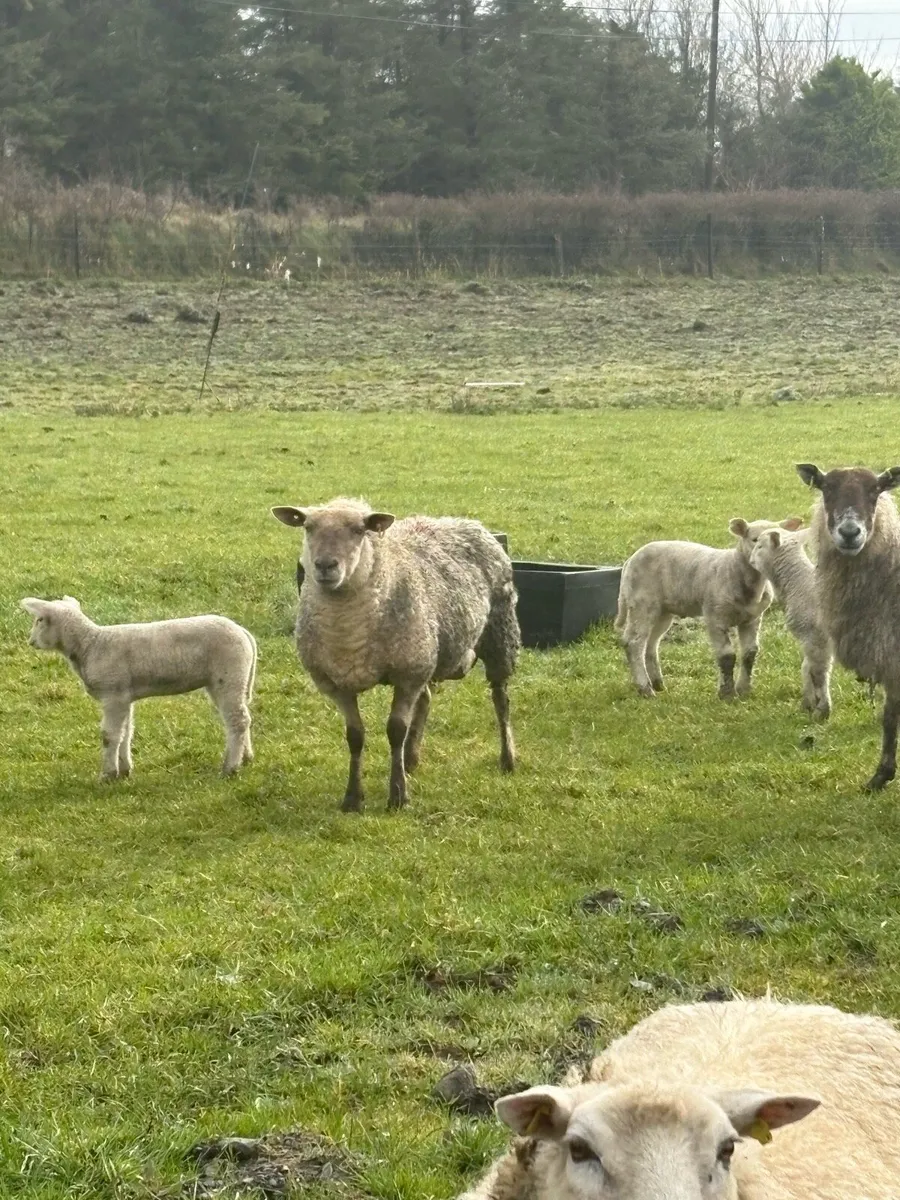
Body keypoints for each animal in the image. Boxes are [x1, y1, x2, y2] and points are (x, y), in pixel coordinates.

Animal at [20, 596, 256, 779]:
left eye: (39, 620)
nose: (30, 642)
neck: (90, 644)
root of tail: (243, 632)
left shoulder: (113, 695)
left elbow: (109, 736)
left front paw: (108, 774)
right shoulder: (124, 695)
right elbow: (126, 733)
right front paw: (125, 770)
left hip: (230, 676)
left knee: (238, 720)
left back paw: (230, 768)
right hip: (225, 681)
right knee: (239, 718)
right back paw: (245, 758)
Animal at [271, 497, 519, 812]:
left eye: (359, 530)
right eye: (308, 527)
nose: (325, 565)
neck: (348, 631)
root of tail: (465, 521)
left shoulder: (407, 675)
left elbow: (395, 731)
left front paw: (398, 795)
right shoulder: (337, 684)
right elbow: (355, 736)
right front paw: (353, 797)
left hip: (499, 634)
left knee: (501, 699)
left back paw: (508, 759)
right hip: (427, 653)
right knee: (426, 698)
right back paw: (411, 759)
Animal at [615, 517, 803, 700]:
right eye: (755, 540)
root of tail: (630, 560)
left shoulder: (752, 619)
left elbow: (750, 653)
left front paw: (744, 690)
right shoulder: (715, 616)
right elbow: (727, 656)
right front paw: (727, 694)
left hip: (663, 610)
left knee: (651, 643)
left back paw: (658, 684)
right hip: (642, 602)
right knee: (634, 642)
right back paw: (645, 689)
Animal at [748, 526, 833, 720]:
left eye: (760, 546)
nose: (750, 561)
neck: (799, 583)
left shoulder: (815, 637)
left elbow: (819, 672)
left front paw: (822, 710)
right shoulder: (811, 639)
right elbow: (806, 667)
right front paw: (808, 703)